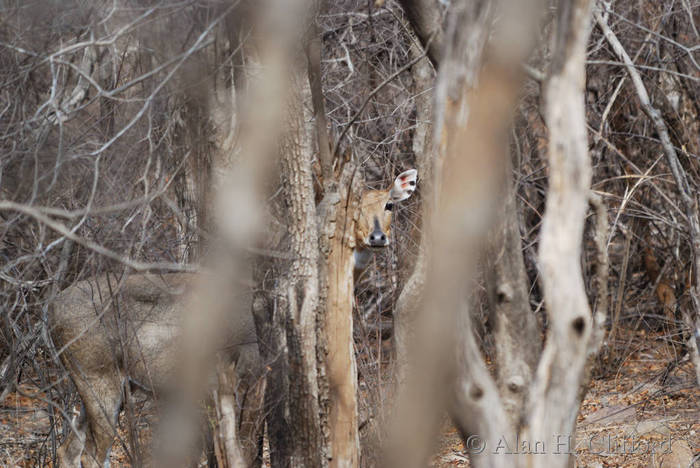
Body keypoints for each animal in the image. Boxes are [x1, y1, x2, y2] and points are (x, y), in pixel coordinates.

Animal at [52, 167, 418, 464]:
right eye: (351, 207)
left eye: (389, 204)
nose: (377, 237)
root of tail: (50, 312)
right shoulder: (253, 365)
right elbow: (246, 445)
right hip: (98, 374)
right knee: (90, 455)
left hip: (97, 382)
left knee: (68, 449)